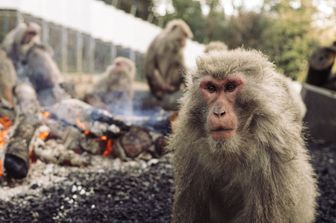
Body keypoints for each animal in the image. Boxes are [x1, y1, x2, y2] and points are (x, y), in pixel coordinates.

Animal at [169, 48, 316, 222]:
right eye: (211, 88)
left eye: (230, 87)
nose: (219, 112)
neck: (234, 146)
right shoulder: (189, 147)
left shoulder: (273, 156)